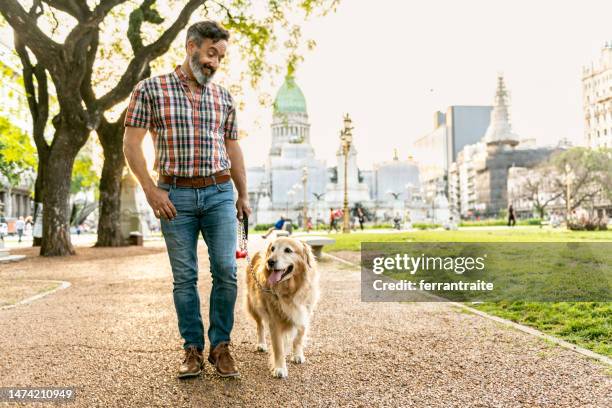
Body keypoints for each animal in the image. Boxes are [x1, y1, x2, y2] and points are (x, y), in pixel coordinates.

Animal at [245, 237, 320, 378]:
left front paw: (297, 355)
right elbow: (278, 347)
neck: (290, 290)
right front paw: (280, 368)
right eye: (272, 249)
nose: (270, 261)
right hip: (253, 304)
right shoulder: (274, 322)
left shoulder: (304, 314)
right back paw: (261, 343)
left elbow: (298, 338)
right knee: (260, 325)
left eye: (288, 250)